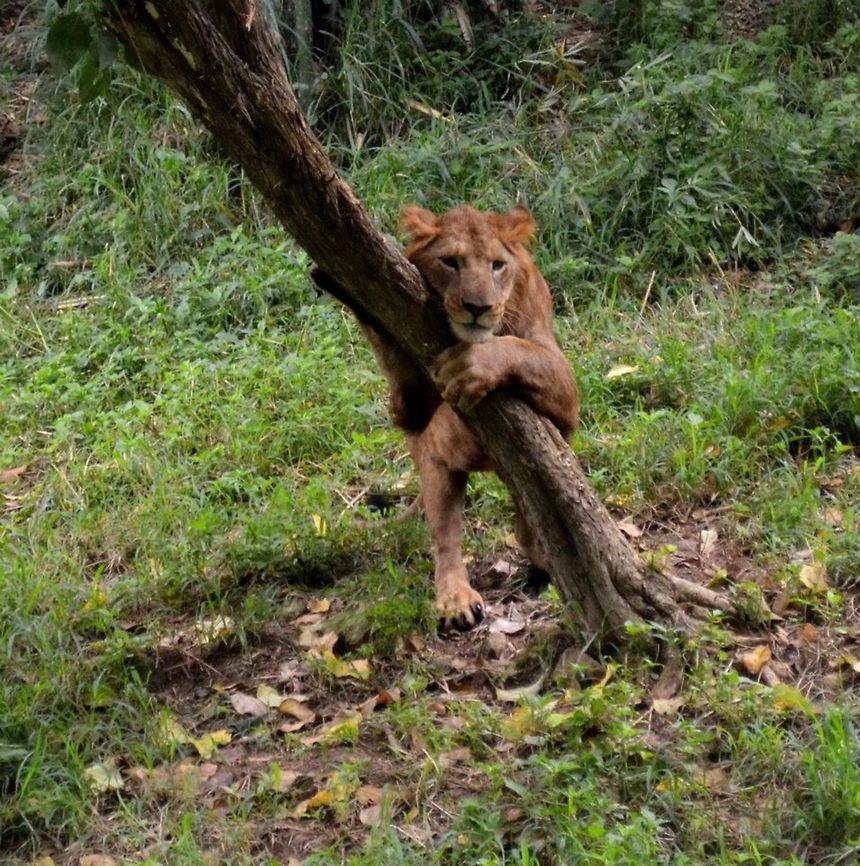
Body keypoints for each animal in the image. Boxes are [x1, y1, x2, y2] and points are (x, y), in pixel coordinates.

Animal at [317, 204, 579, 629]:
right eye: (450, 262)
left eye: (497, 265)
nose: (478, 308)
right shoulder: (409, 410)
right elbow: (407, 396)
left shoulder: (567, 396)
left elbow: (518, 348)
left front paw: (475, 365)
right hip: (434, 466)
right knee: (445, 534)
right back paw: (457, 599)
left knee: (529, 524)